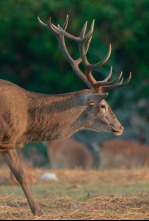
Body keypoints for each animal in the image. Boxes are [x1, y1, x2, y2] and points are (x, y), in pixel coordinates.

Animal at [0, 15, 130, 216]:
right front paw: (38, 211)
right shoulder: (6, 137)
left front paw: (37, 210)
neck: (27, 123)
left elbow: (20, 175)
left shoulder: (7, 143)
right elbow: (19, 175)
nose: (120, 126)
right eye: (103, 105)